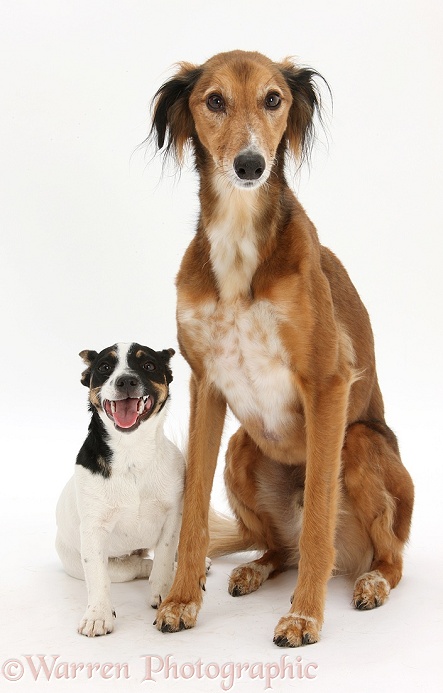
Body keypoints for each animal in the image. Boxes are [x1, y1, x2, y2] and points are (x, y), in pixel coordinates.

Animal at [151, 51, 414, 648]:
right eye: (214, 100)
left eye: (273, 99)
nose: (251, 165)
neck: (239, 236)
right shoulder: (205, 385)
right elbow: (193, 512)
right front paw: (181, 599)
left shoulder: (328, 383)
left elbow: (318, 516)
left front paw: (304, 616)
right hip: (241, 449)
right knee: (279, 549)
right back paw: (254, 568)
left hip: (359, 444)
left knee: (387, 556)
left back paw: (370, 583)